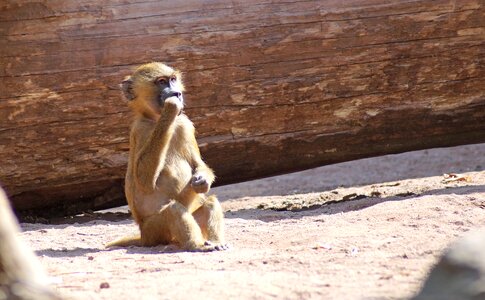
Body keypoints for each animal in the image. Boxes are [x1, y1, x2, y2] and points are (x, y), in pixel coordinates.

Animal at [108, 62, 227, 252]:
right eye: (162, 81)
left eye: (173, 79)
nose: (177, 93)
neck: (155, 119)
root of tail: (143, 236)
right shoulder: (140, 130)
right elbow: (144, 180)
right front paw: (170, 107)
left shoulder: (185, 125)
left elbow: (198, 164)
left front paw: (202, 181)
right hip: (155, 230)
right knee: (173, 210)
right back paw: (196, 245)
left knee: (210, 202)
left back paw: (215, 242)